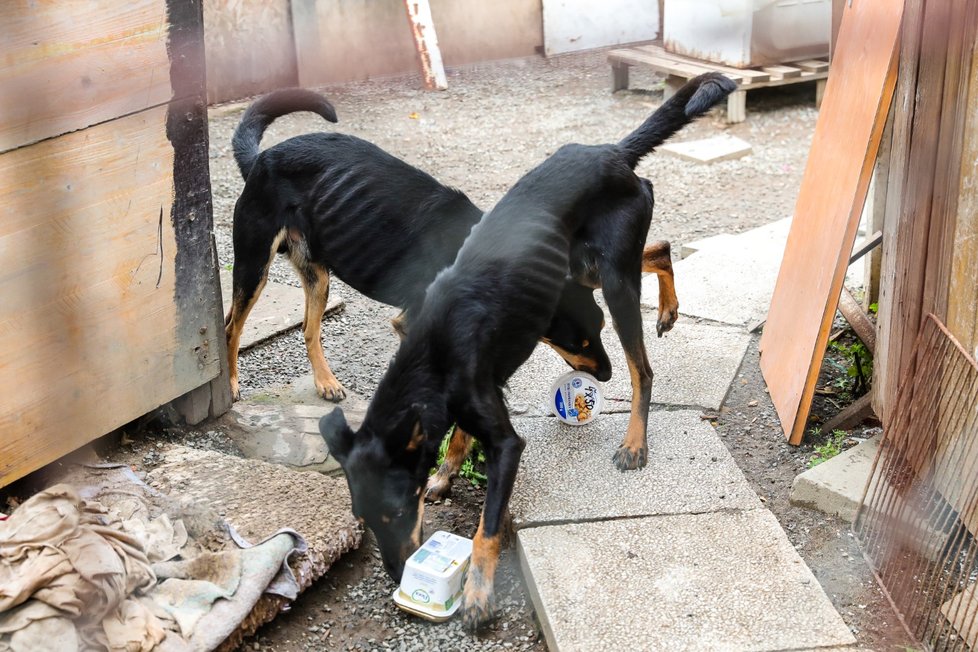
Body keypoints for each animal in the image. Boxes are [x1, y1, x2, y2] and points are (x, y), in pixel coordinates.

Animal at [225, 90, 676, 402]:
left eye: (600, 330)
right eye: (576, 343)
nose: (608, 376)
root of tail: (262, 158)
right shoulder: (413, 325)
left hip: (317, 273)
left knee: (308, 328)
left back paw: (325, 382)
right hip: (253, 264)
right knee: (232, 325)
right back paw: (230, 385)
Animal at [320, 72, 732, 632]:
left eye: (399, 512)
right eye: (363, 519)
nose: (397, 573)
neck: (434, 354)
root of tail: (611, 153)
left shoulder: (506, 441)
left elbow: (487, 527)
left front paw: (477, 596)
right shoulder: (483, 391)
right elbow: (457, 439)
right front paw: (446, 475)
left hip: (613, 283)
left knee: (642, 369)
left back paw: (634, 441)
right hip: (586, 271)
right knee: (661, 249)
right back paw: (667, 308)